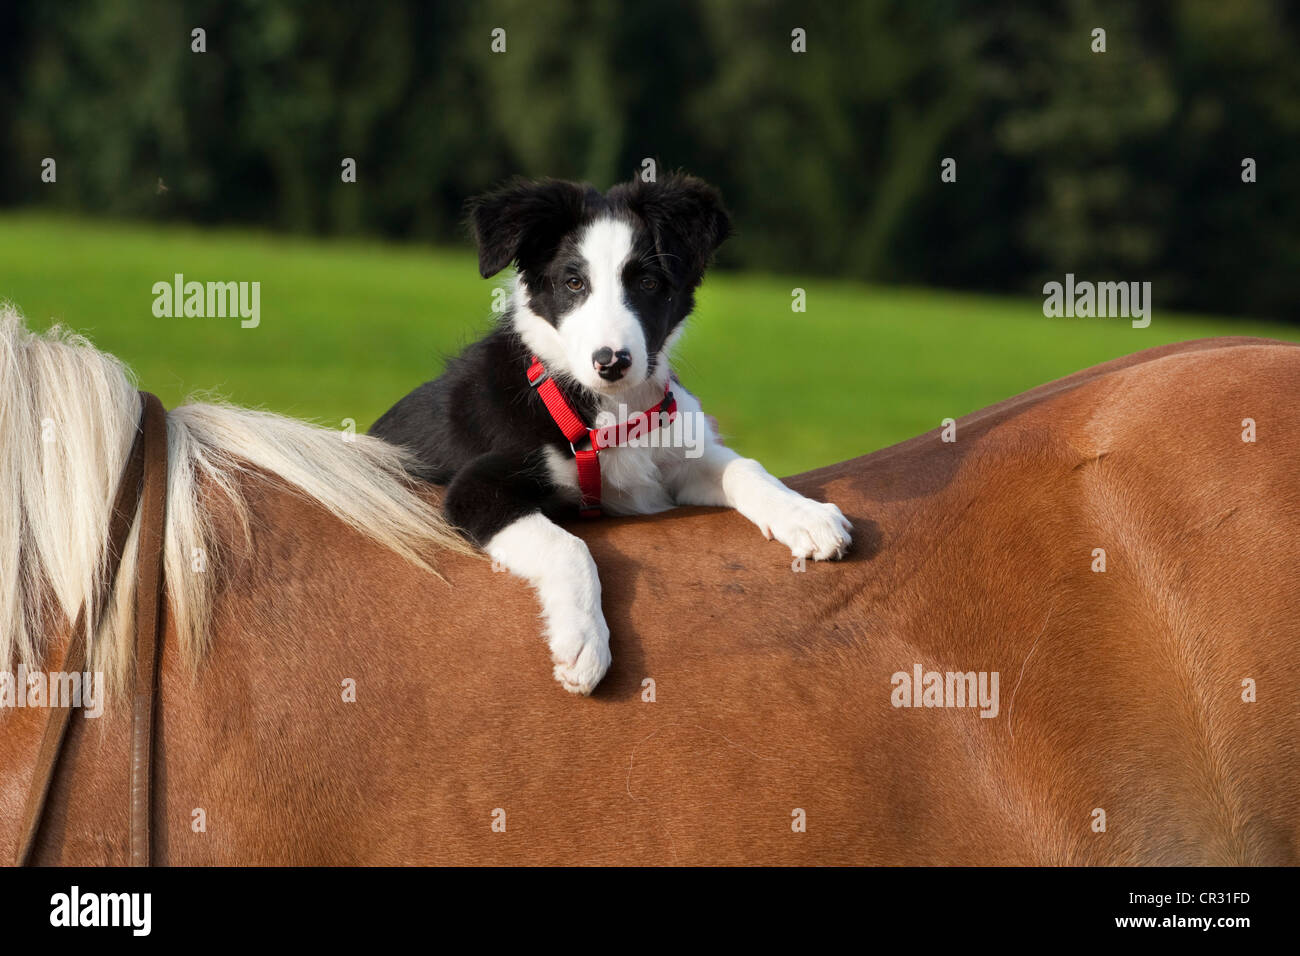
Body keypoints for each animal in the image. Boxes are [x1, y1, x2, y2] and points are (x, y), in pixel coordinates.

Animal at [366, 174, 852, 697]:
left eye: (648, 283)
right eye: (574, 283)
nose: (611, 362)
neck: (609, 412)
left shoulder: (676, 455)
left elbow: (746, 468)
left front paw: (805, 515)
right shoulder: (474, 489)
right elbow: (571, 547)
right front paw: (583, 643)